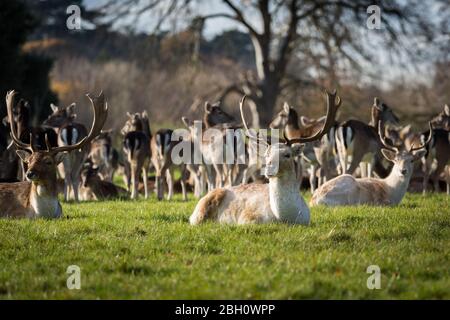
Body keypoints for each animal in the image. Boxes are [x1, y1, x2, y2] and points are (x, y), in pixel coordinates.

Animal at [188, 90, 340, 225]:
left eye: (287, 154)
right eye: (267, 154)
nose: (269, 169)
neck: (285, 218)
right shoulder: (247, 218)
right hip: (202, 208)